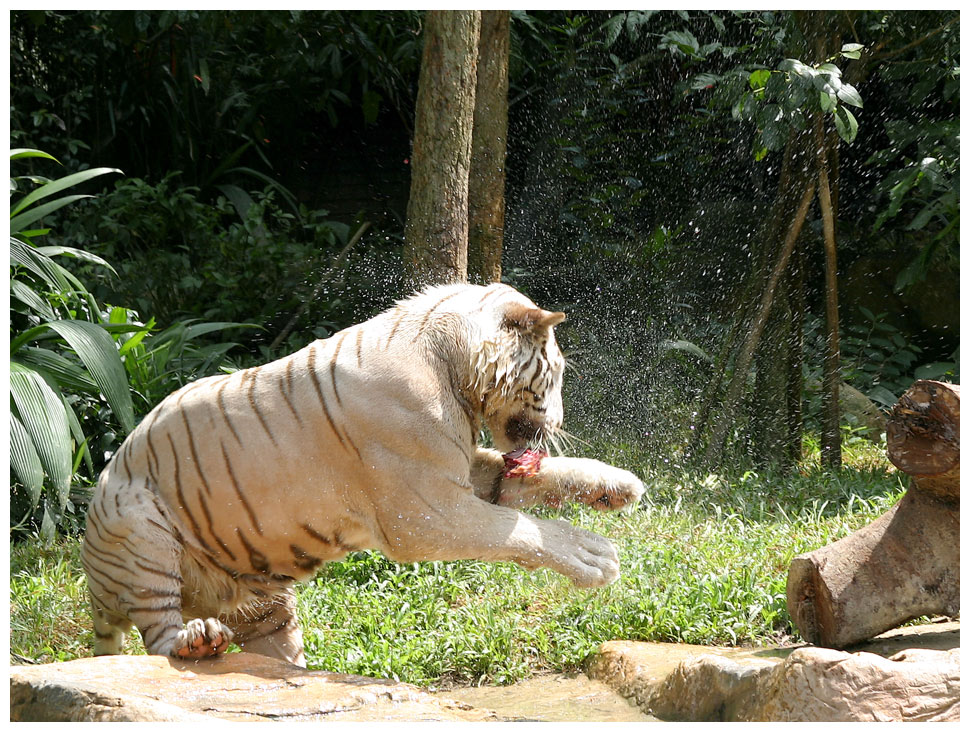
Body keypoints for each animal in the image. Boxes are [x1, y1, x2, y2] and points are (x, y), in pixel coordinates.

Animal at [81, 284, 644, 668]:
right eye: (557, 370)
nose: (560, 422)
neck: (457, 373)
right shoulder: (427, 512)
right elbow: (519, 530)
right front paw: (595, 556)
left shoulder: (461, 472)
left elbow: (532, 482)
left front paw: (617, 486)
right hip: (141, 528)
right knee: (159, 638)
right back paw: (197, 640)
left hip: (265, 603)